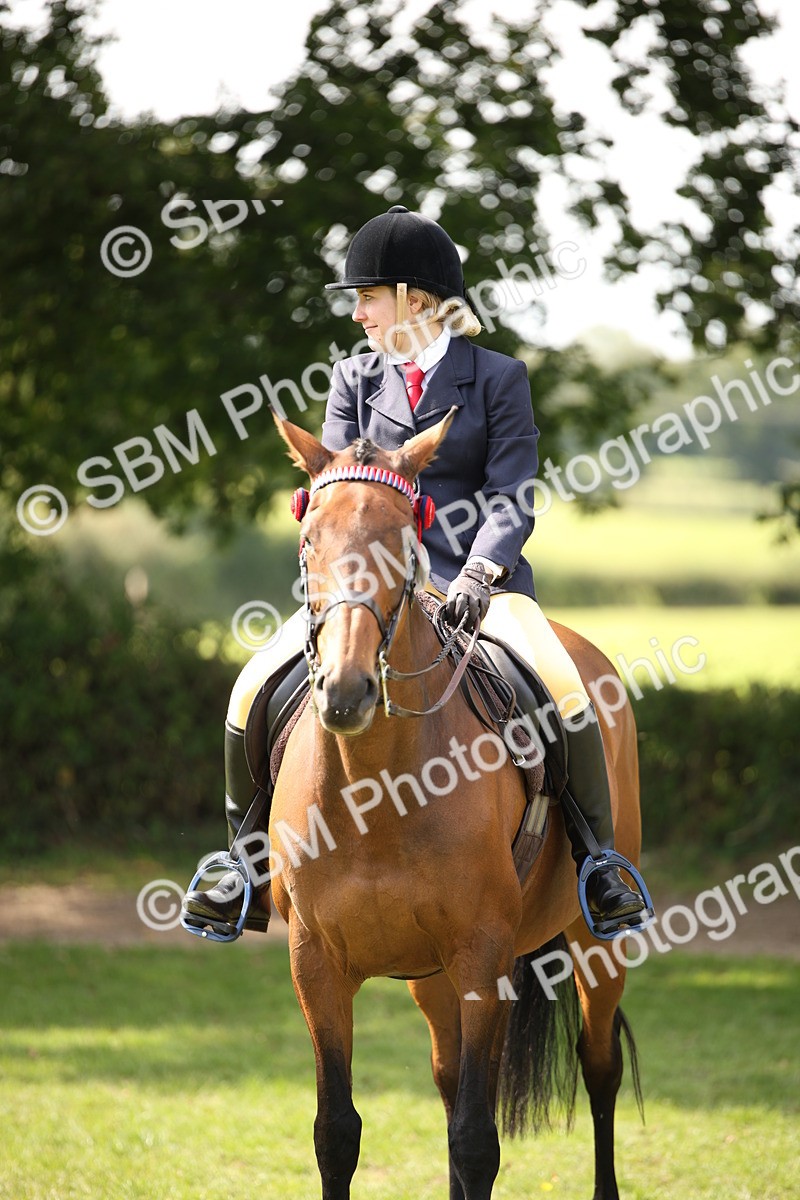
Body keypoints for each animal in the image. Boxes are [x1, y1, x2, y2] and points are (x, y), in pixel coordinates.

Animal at [268, 410, 644, 1200]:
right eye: (309, 539)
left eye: (401, 542)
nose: (345, 690)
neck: (377, 789)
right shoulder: (316, 964)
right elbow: (335, 1133)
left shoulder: (481, 957)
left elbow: (477, 1139)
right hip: (435, 978)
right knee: (448, 1082)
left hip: (594, 944)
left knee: (598, 1068)